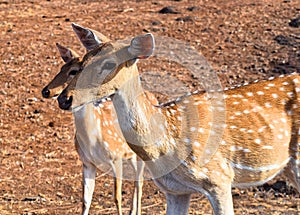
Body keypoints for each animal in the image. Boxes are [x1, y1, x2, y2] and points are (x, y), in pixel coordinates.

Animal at [41, 23, 155, 215]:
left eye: (73, 71)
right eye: (60, 69)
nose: (47, 91)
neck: (92, 139)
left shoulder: (116, 157)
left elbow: (116, 198)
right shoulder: (87, 162)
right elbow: (85, 200)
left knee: (139, 181)